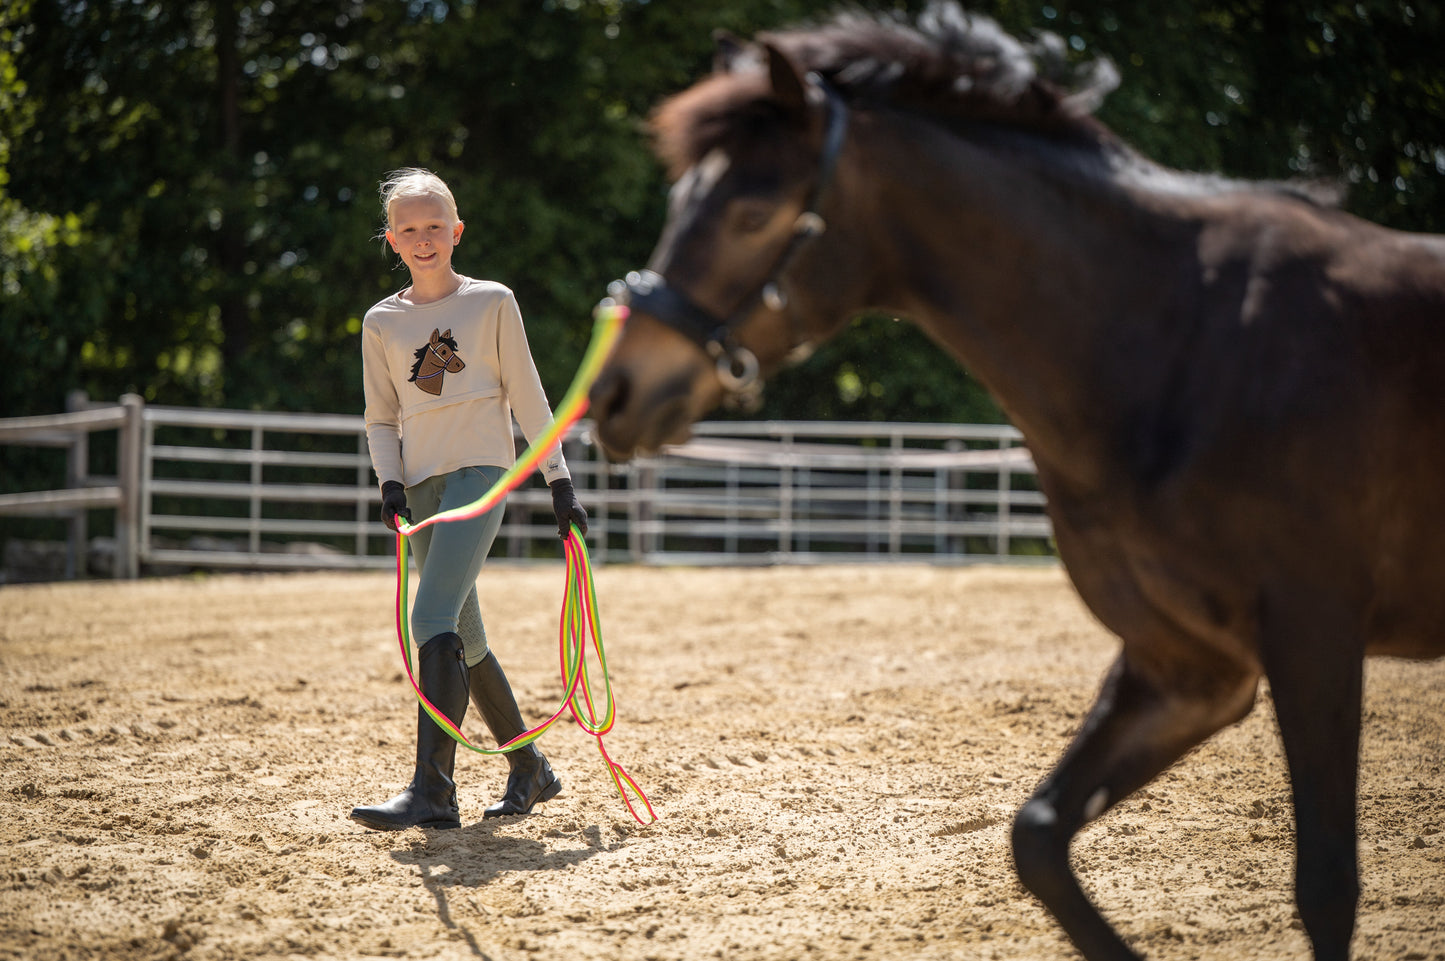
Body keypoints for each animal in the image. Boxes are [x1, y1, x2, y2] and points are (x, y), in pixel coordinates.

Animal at [585, 5, 1445, 960]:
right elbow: (1035, 836)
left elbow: (1325, 885)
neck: (1179, 337)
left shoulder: (1313, 639)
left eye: (750, 211)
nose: (614, 390)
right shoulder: (1189, 664)